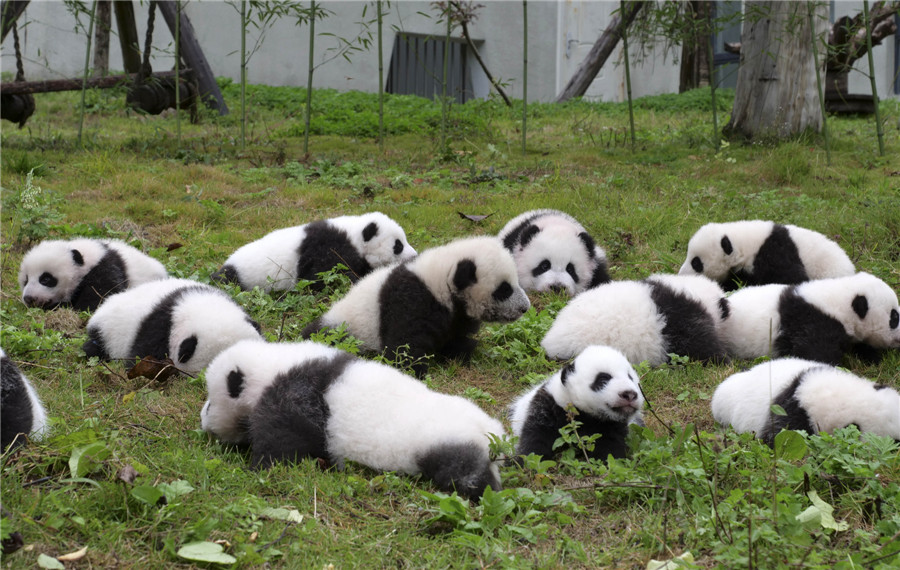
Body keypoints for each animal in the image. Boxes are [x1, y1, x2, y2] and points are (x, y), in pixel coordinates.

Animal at [211, 212, 417, 292]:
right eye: (398, 245)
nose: (414, 255)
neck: (353, 236)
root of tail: (227, 263)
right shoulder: (326, 247)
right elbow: (321, 276)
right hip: (241, 277)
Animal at [301, 236, 530, 375]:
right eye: (504, 289)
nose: (524, 308)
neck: (440, 279)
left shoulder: (456, 313)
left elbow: (456, 334)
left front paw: (460, 353)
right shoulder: (409, 299)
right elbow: (403, 345)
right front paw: (414, 370)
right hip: (344, 328)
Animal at [509, 345, 644, 462]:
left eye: (631, 378)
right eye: (603, 379)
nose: (629, 394)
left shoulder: (613, 424)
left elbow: (610, 445)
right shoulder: (548, 406)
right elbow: (536, 436)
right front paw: (527, 461)